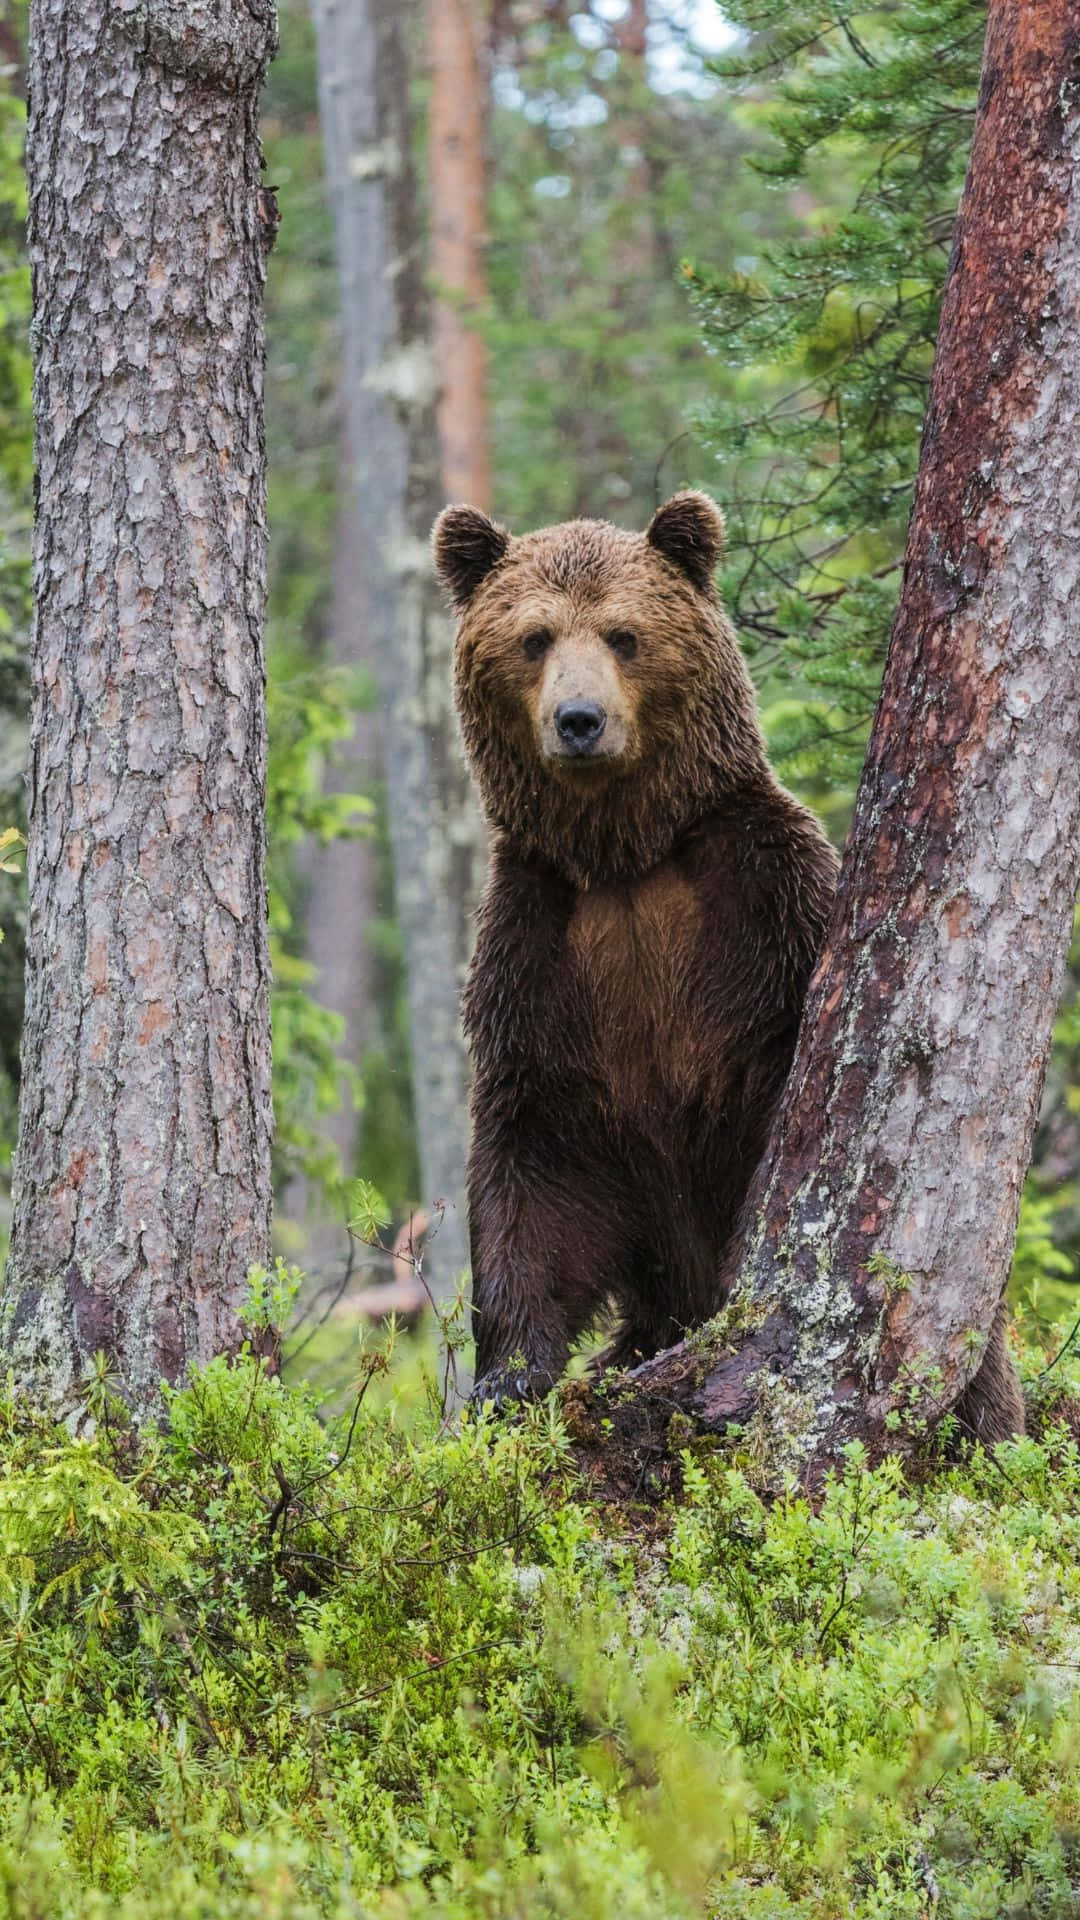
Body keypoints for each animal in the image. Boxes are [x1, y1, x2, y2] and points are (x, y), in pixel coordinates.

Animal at [434, 491, 1024, 1441]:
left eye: (624, 633)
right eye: (533, 637)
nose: (579, 720)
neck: (627, 858)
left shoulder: (763, 915)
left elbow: (782, 1105)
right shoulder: (546, 953)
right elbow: (540, 1162)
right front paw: (508, 1379)